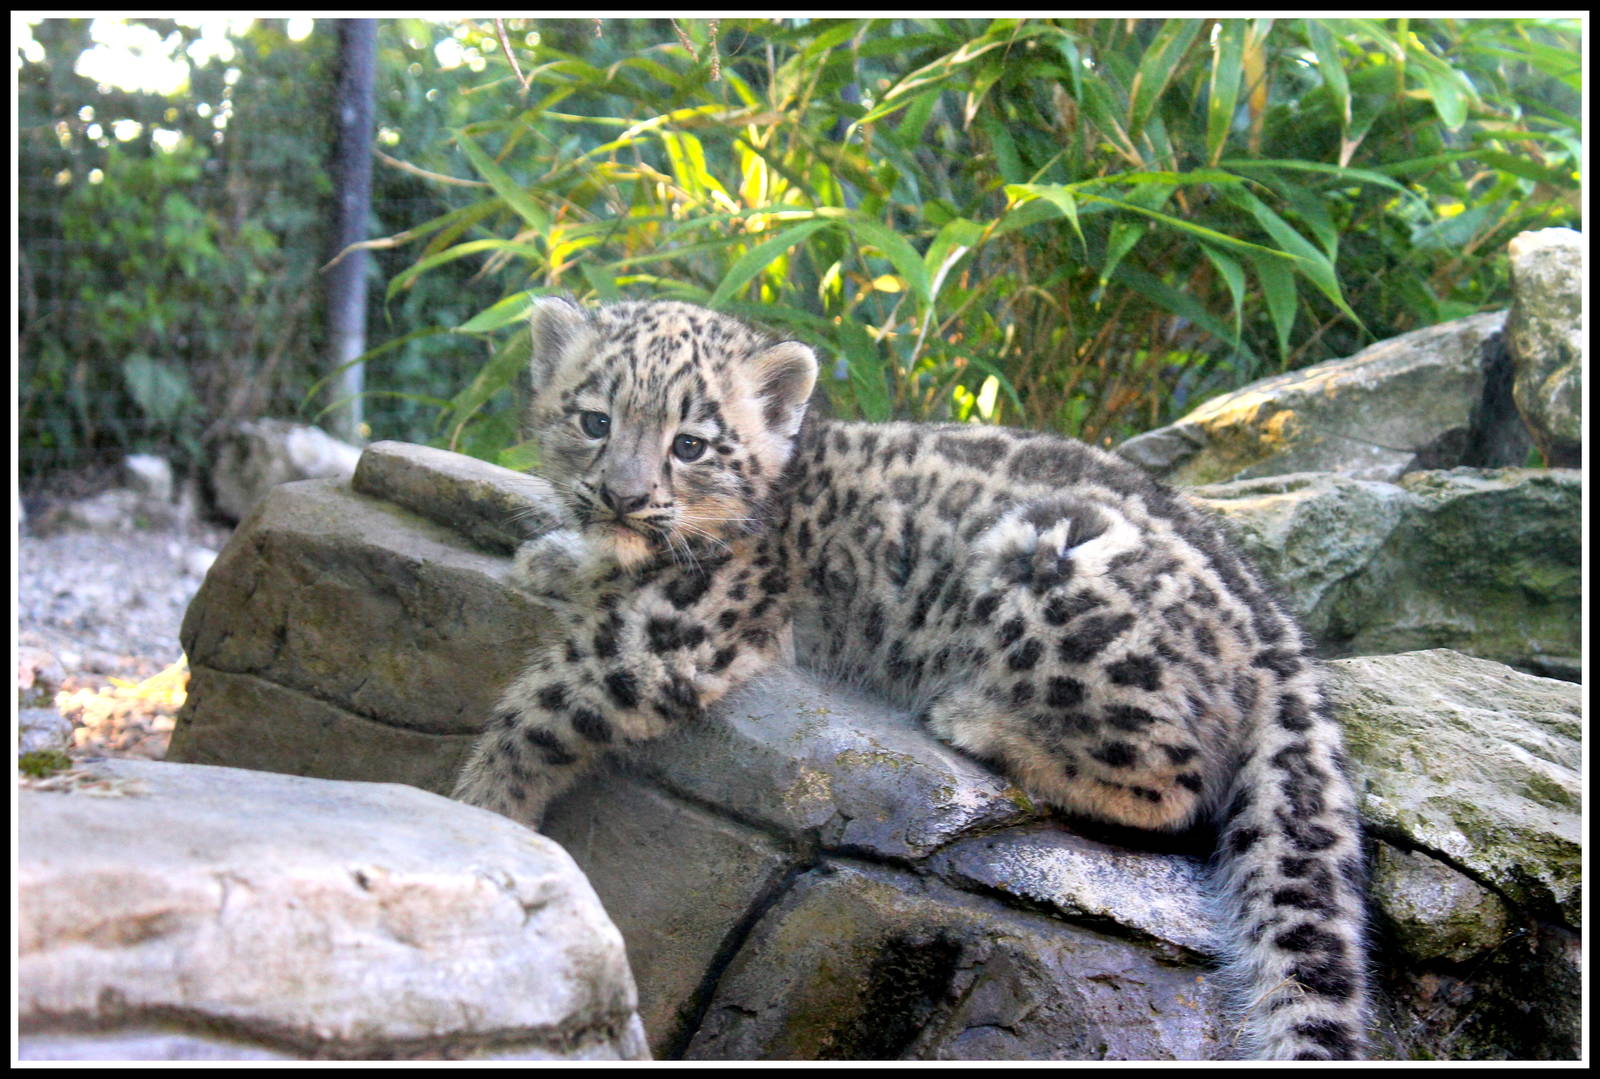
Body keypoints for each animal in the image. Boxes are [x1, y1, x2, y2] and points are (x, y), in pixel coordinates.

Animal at [452, 297, 1371, 1060]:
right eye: (594, 419)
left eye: (691, 443)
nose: (620, 495)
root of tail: (1277, 632)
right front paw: (553, 556)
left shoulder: (672, 637)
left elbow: (544, 707)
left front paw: (483, 809)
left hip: (1057, 582)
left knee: (1172, 779)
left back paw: (975, 717)